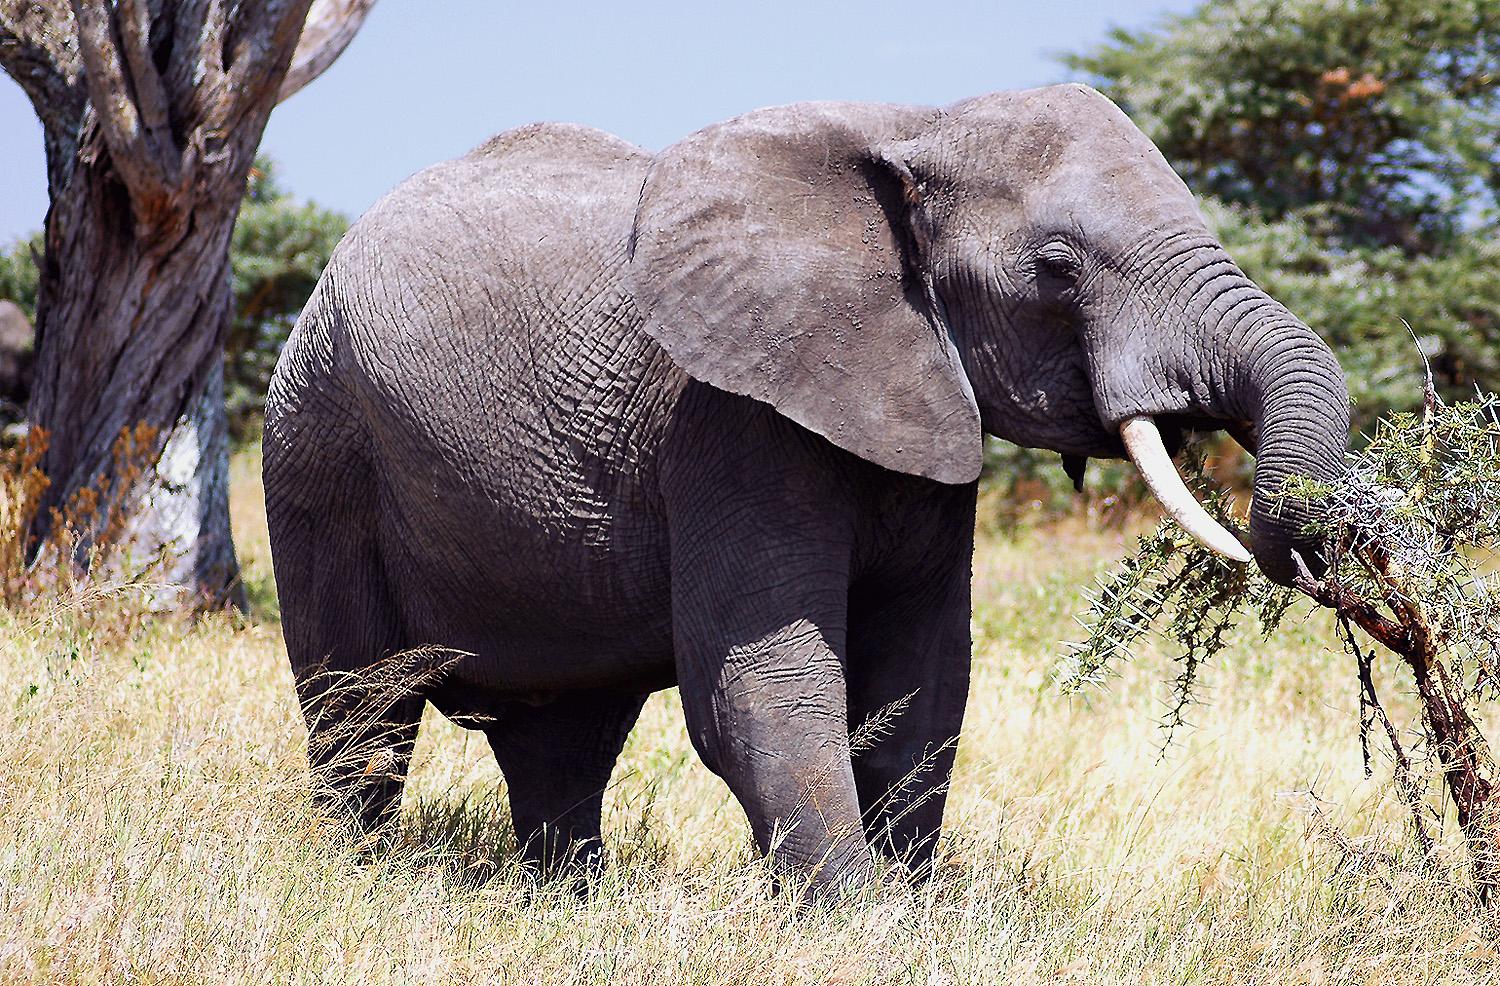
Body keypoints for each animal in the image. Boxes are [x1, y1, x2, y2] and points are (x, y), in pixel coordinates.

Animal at [264, 84, 1356, 894]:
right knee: (360, 704)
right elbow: (768, 678)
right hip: (320, 441)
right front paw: (863, 917)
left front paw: (908, 904)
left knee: (564, 732)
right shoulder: (728, 418)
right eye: (1056, 268)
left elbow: (924, 678)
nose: (1310, 559)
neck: (914, 125)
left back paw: (565, 898)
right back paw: (354, 881)